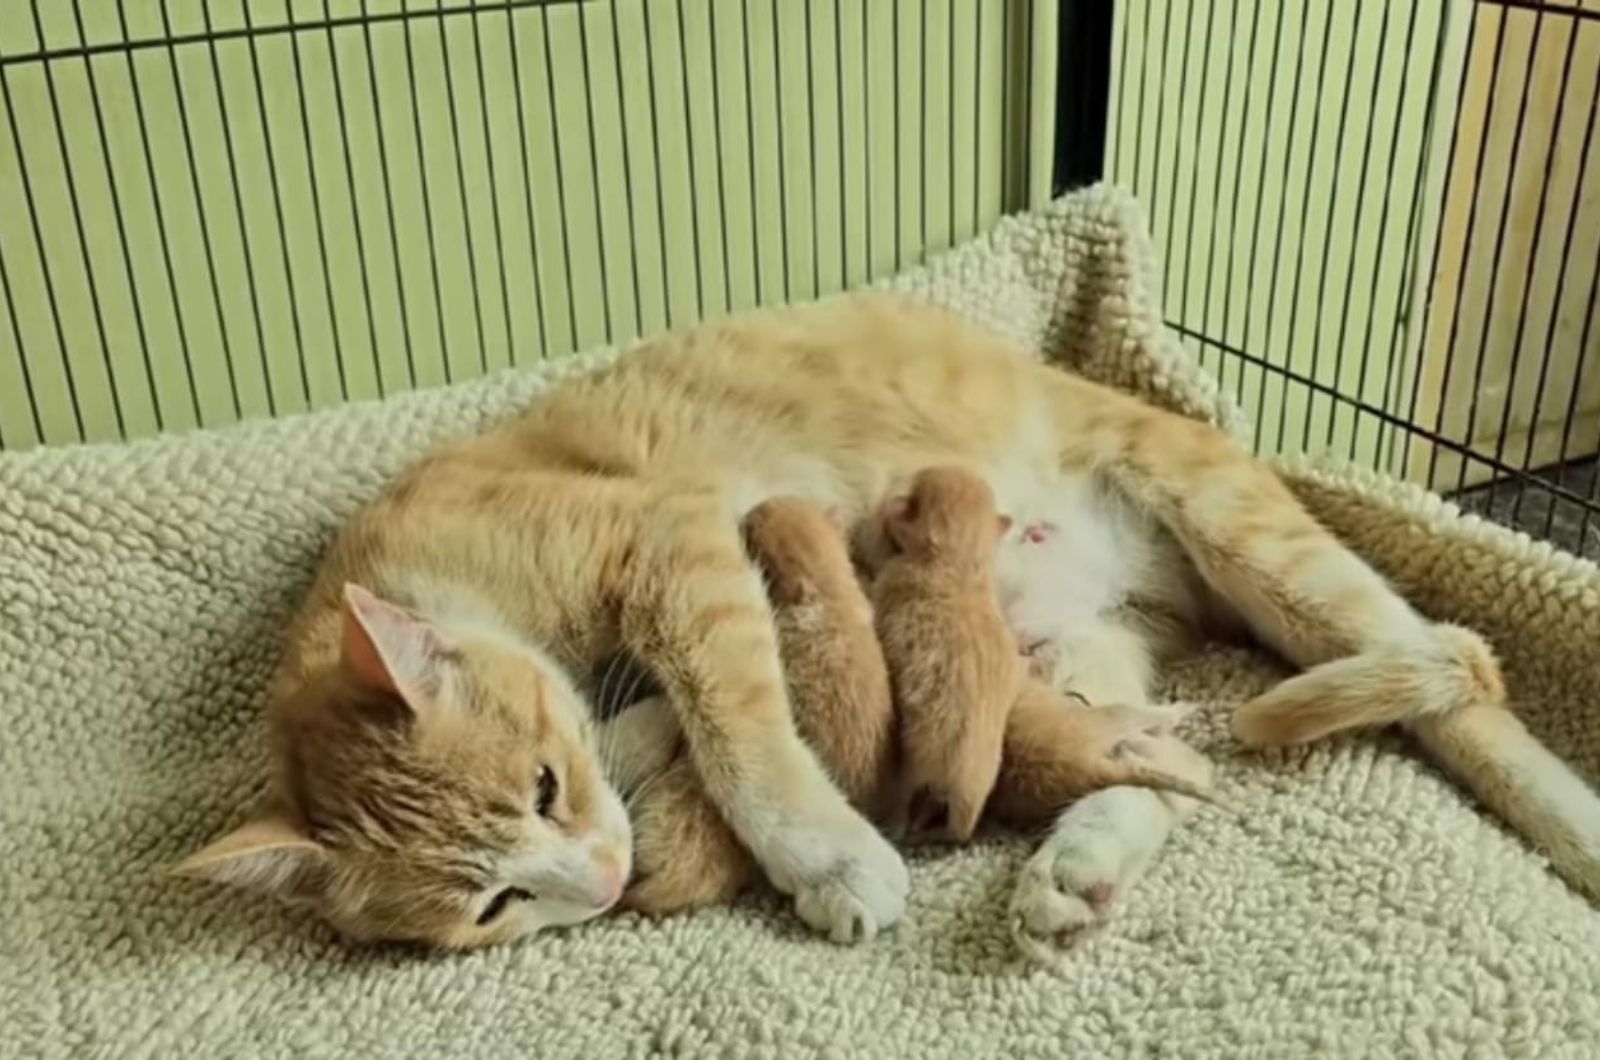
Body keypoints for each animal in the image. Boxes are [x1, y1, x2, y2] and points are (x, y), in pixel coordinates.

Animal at [175, 294, 1600, 960]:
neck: (422, 557)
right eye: (488, 907)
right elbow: (666, 729)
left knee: (1469, 688)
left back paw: (1570, 821)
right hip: (1066, 653)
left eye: (538, 787)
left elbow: (740, 734)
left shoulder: (678, 551)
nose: (601, 884)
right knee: (1158, 764)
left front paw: (827, 858)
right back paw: (1080, 869)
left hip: (1259, 541)